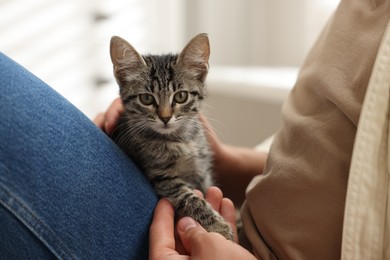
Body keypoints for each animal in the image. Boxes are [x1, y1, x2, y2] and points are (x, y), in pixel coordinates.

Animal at [108, 33, 233, 241]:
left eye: (181, 96)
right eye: (146, 99)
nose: (165, 117)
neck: (179, 139)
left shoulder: (202, 170)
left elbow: (205, 188)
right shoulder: (162, 178)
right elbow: (191, 198)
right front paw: (218, 227)